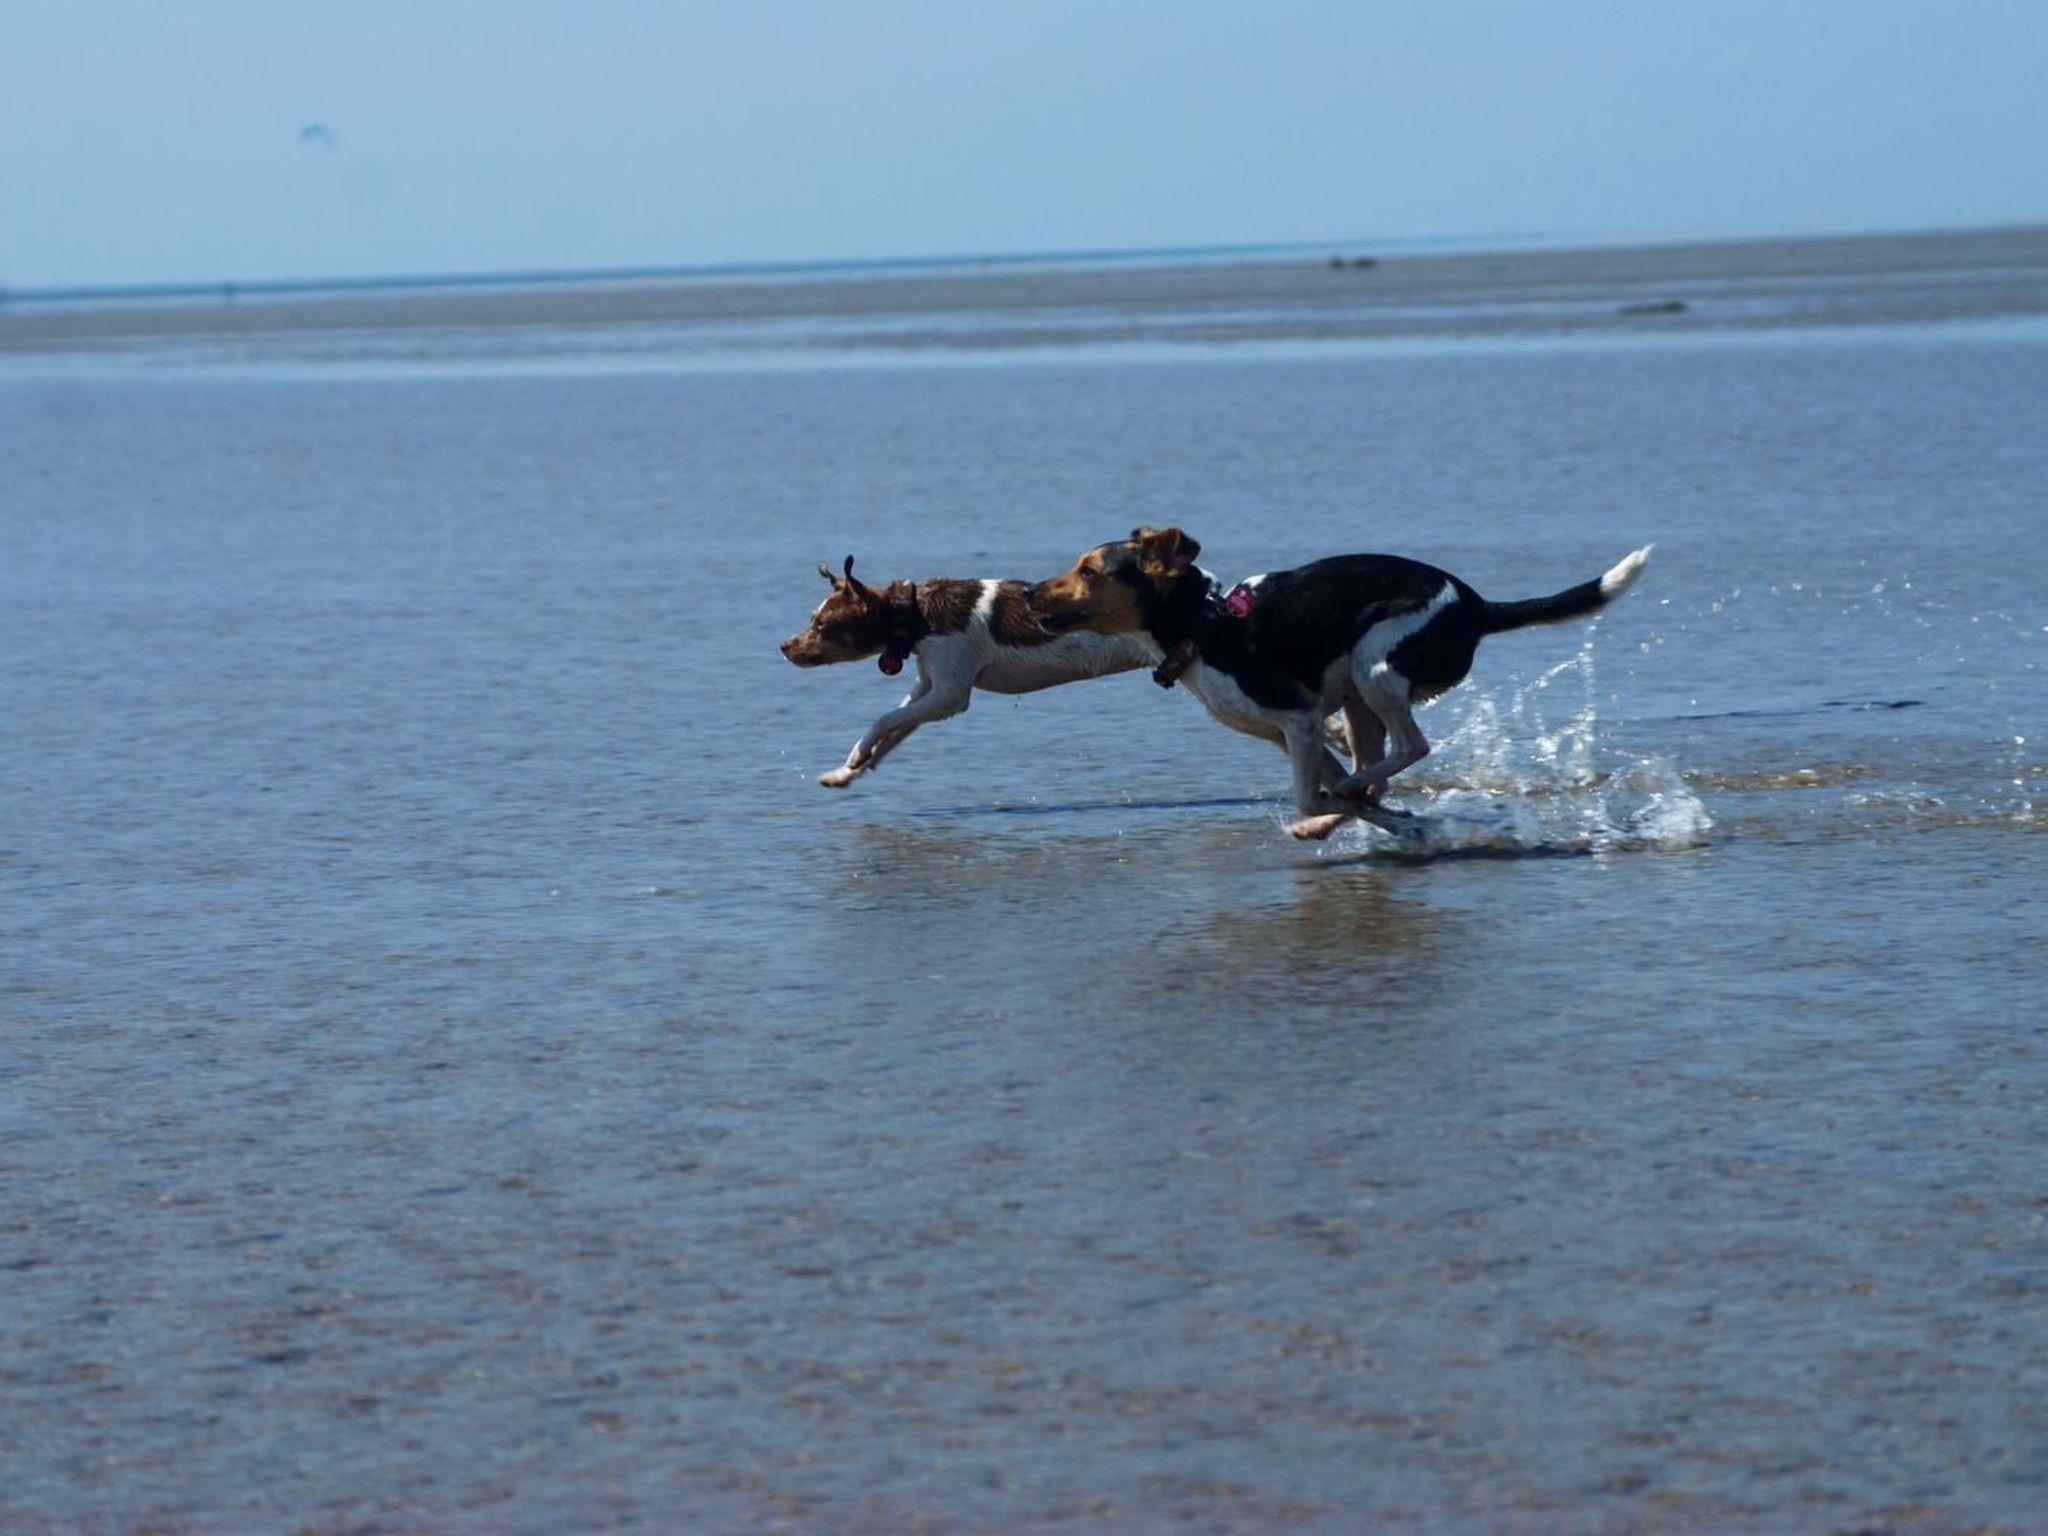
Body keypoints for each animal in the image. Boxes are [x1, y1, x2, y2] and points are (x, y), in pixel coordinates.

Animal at [1028, 527, 1652, 838]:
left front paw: (1336, 812)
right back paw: (1357, 807)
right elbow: (1328, 786)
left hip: (1374, 666)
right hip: (1357, 697)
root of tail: (1476, 607)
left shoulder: (1297, 720)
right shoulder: (1288, 734)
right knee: (1375, 761)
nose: (1030, 593)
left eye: (1089, 571)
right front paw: (1362, 818)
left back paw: (1356, 797)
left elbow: (1310, 794)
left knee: (1410, 747)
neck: (1204, 626)